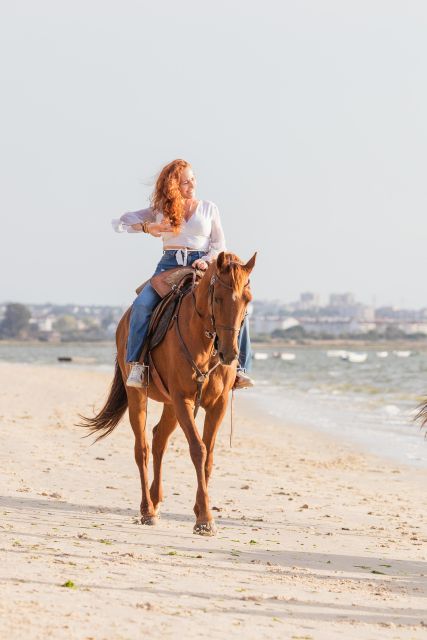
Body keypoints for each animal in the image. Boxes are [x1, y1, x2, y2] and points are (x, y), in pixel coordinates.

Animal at [80, 250, 256, 536]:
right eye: (217, 297)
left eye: (247, 299)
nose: (229, 354)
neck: (205, 342)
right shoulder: (183, 400)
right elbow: (198, 450)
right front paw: (205, 519)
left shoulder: (217, 404)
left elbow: (209, 456)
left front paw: (199, 510)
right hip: (139, 397)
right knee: (142, 447)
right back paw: (147, 510)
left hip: (170, 406)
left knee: (158, 439)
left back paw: (156, 500)